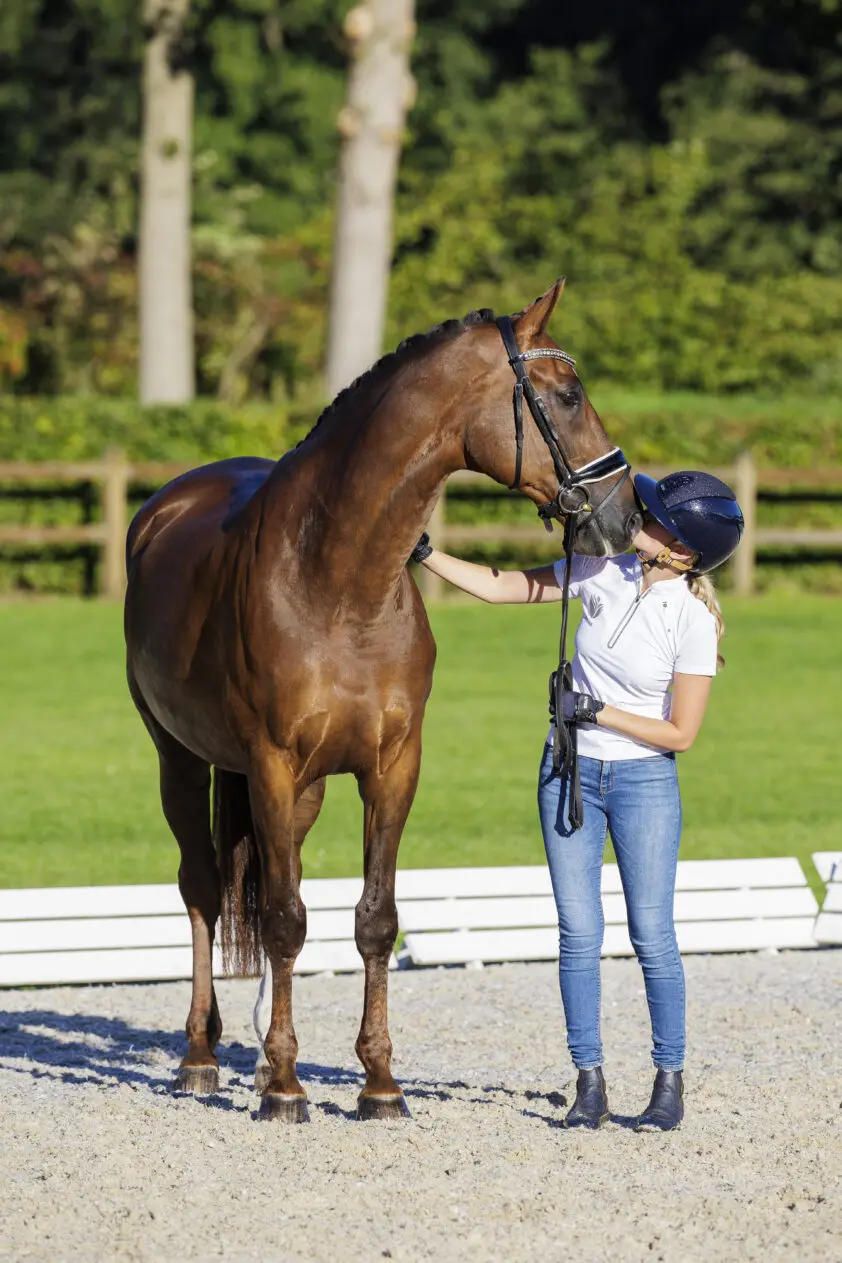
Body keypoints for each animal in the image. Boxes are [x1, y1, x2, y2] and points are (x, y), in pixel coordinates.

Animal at [124, 280, 641, 1123]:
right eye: (567, 395)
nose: (622, 515)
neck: (339, 579)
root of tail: (163, 506)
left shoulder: (393, 766)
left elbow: (373, 918)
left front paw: (378, 1083)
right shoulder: (271, 765)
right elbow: (287, 919)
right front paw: (290, 1088)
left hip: (298, 792)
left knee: (267, 886)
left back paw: (259, 1060)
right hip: (182, 758)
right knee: (204, 889)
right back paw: (202, 1056)